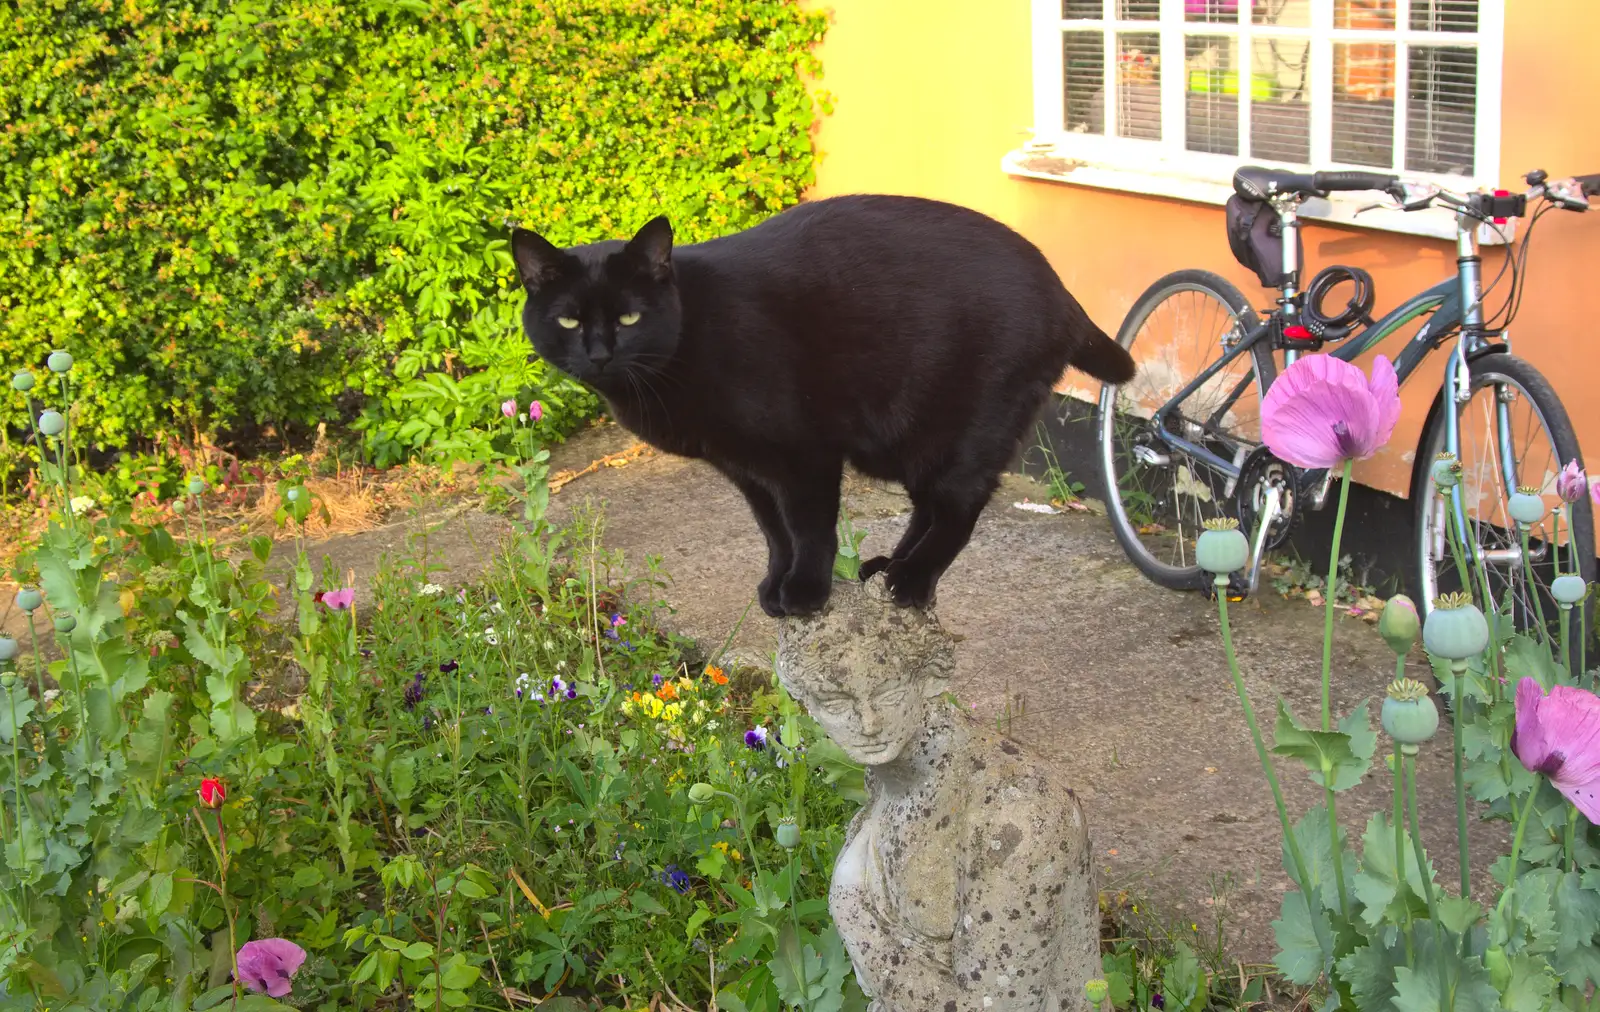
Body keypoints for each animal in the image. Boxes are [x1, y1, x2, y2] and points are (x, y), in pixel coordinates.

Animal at [512, 190, 1139, 618]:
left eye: (628, 317)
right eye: (567, 320)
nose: (598, 354)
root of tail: (1063, 293)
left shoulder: (804, 453)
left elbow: (810, 527)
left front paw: (806, 592)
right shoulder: (744, 467)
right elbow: (774, 532)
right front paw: (776, 585)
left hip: (961, 433)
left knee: (959, 509)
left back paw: (912, 581)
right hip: (912, 446)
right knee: (929, 507)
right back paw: (889, 566)